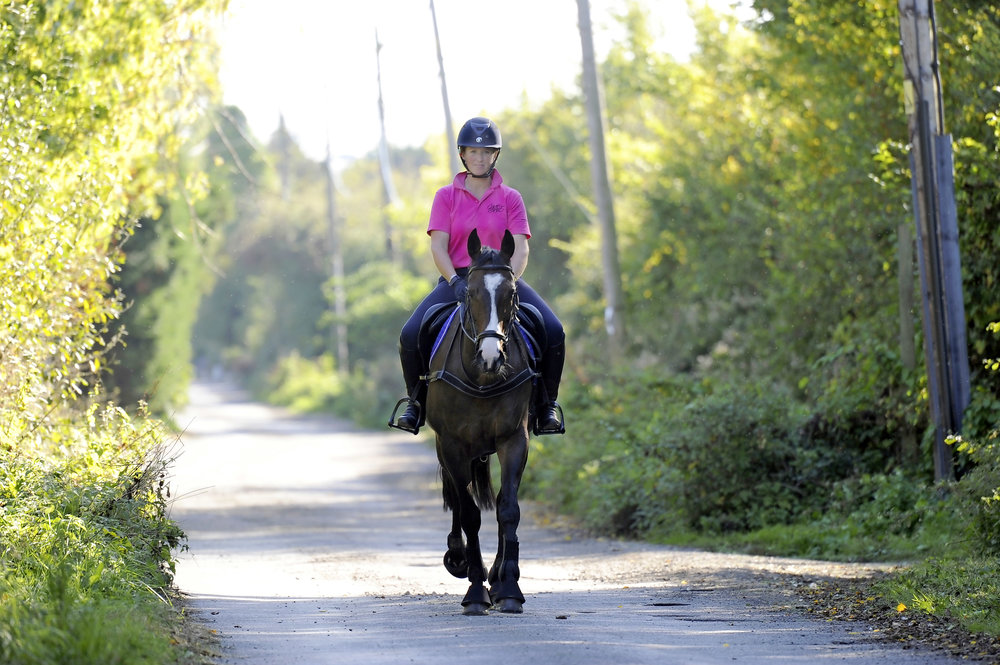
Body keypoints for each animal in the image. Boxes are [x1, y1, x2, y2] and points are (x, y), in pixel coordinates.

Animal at [423, 228, 537, 615]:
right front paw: (475, 591)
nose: (491, 357)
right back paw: (459, 559)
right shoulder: (452, 445)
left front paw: (509, 587)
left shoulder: (514, 439)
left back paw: (497, 575)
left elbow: (508, 509)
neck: (482, 377)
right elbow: (470, 513)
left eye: (512, 293)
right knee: (459, 500)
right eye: (470, 292)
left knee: (500, 500)